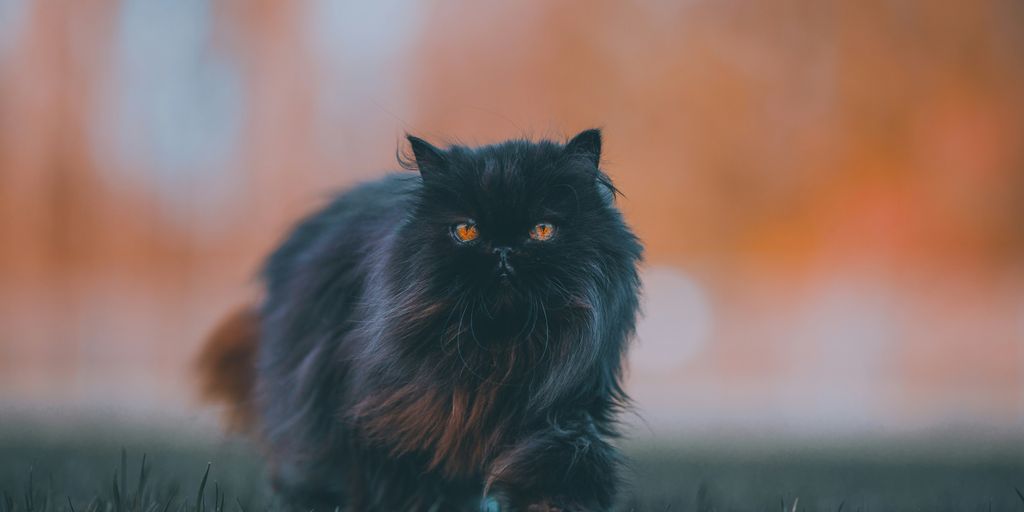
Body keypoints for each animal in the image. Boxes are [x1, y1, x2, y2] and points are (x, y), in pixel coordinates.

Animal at [197, 129, 638, 512]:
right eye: (467, 231)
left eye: (542, 230)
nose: (503, 251)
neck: (498, 353)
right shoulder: (391, 413)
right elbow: (398, 478)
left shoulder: (566, 407)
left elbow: (563, 461)